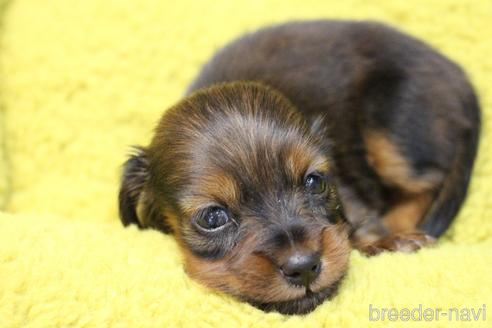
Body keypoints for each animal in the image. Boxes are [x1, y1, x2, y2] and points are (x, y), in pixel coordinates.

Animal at [117, 20, 478, 316]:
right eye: (212, 217)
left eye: (314, 182)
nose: (304, 267)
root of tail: (460, 77)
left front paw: (385, 243)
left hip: (391, 130)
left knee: (428, 182)